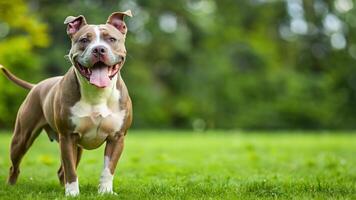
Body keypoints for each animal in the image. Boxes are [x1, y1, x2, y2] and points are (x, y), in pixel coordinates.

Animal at [0, 10, 133, 196]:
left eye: (111, 39)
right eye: (84, 40)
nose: (99, 49)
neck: (96, 93)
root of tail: (36, 85)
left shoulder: (117, 137)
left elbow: (108, 169)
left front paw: (105, 191)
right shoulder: (68, 137)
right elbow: (71, 169)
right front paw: (72, 194)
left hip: (78, 147)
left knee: (61, 171)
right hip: (22, 137)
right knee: (15, 166)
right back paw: (11, 187)